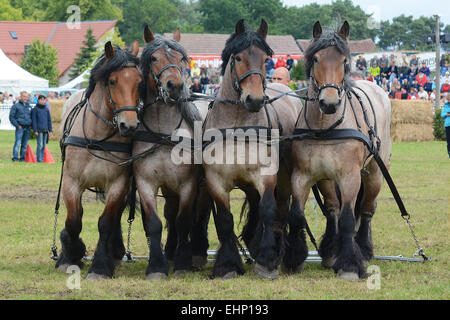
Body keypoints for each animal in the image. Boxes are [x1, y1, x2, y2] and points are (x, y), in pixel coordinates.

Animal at [55, 43, 142, 280]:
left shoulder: (118, 184)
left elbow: (106, 222)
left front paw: (101, 266)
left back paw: (115, 252)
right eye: (112, 81)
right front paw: (70, 256)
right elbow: (74, 220)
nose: (129, 126)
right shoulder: (71, 183)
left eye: (139, 81)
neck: (97, 136)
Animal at [132, 26, 206, 278]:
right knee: (170, 215)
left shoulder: (188, 183)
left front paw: (183, 263)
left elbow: (184, 221)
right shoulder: (146, 182)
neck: (163, 134)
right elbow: (155, 223)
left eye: (181, 58)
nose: (175, 85)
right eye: (154, 58)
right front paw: (156, 265)